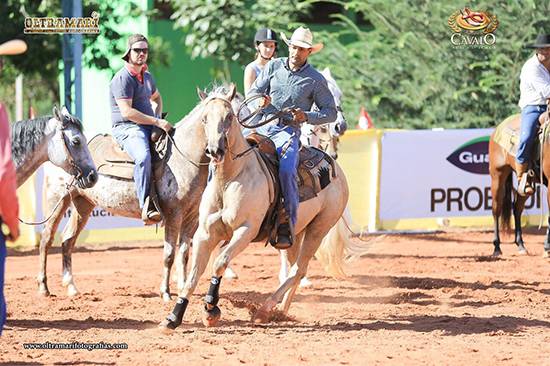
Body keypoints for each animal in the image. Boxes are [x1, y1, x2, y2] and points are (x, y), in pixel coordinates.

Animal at [160, 85, 352, 332]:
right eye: (204, 118)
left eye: (229, 117)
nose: (215, 150)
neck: (230, 178)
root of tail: (336, 167)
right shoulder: (205, 233)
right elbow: (194, 275)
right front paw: (174, 316)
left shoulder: (246, 230)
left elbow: (220, 262)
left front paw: (211, 309)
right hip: (295, 233)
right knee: (295, 269)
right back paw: (281, 311)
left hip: (319, 227)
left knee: (298, 269)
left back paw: (264, 309)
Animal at [492, 114, 550, 258]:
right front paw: (547, 248)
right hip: (497, 176)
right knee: (496, 210)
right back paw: (497, 248)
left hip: (525, 185)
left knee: (517, 207)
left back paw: (521, 245)